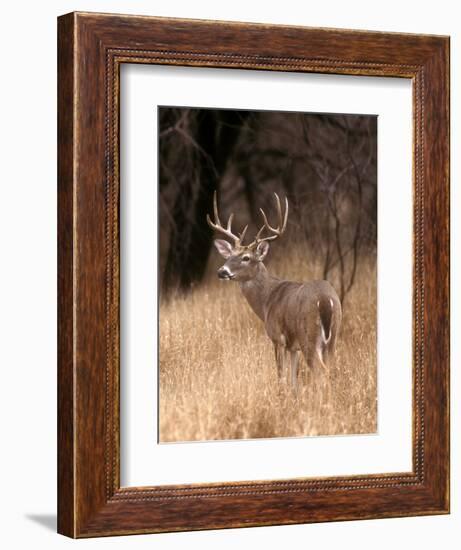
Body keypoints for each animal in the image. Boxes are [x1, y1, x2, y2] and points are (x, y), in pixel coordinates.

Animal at [208, 192, 342, 394]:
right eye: (229, 256)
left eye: (246, 258)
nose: (221, 271)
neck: (267, 301)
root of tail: (326, 300)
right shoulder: (293, 347)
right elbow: (294, 379)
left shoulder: (277, 337)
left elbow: (281, 376)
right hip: (333, 337)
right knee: (331, 370)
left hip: (309, 336)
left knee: (321, 372)